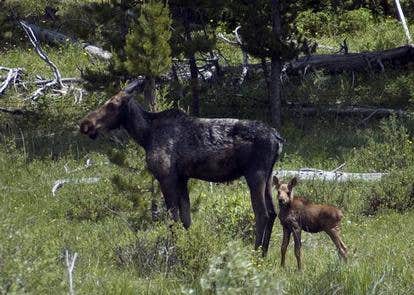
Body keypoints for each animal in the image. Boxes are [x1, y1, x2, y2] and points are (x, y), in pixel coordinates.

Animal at [79, 83, 284, 256]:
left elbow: (173, 219)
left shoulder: (166, 176)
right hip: (268, 175)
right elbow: (186, 219)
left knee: (262, 213)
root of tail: (277, 138)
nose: (85, 124)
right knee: (273, 211)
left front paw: (173, 251)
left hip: (255, 174)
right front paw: (189, 246)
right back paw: (264, 253)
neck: (145, 136)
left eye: (112, 105)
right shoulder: (182, 178)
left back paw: (256, 253)